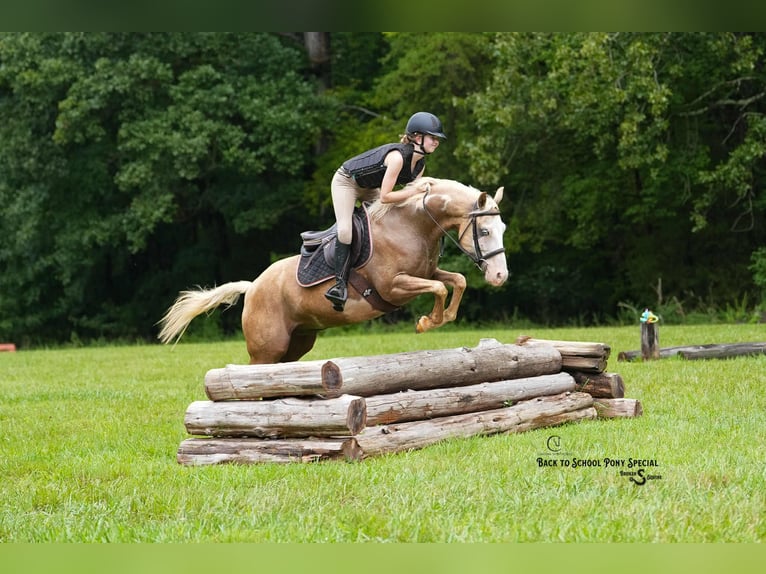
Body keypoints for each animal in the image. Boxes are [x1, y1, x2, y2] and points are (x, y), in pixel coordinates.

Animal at [157, 177, 509, 364]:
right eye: (485, 231)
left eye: (502, 228)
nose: (500, 277)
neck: (412, 225)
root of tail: (253, 286)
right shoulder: (393, 287)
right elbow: (438, 288)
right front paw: (427, 322)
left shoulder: (426, 273)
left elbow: (456, 281)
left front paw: (443, 317)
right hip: (266, 348)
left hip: (298, 342)